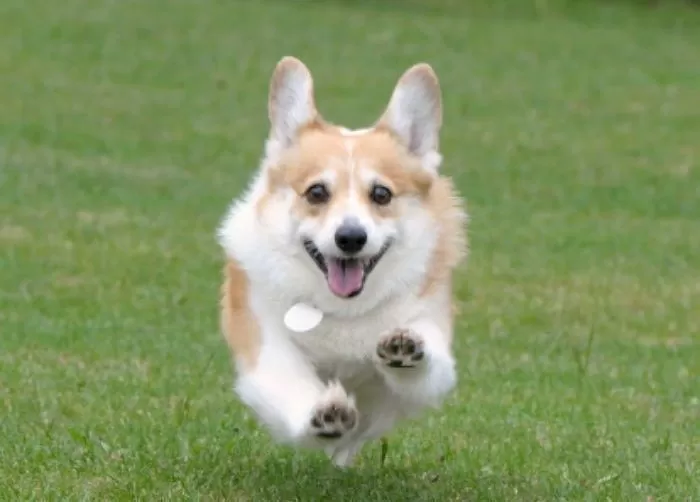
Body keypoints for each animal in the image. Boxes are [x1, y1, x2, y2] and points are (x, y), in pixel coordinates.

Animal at [216, 56, 468, 468]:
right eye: (317, 192)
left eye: (381, 194)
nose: (350, 238)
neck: (342, 307)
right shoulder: (264, 346)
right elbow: (290, 381)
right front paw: (325, 413)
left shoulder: (430, 346)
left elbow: (425, 358)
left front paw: (405, 347)